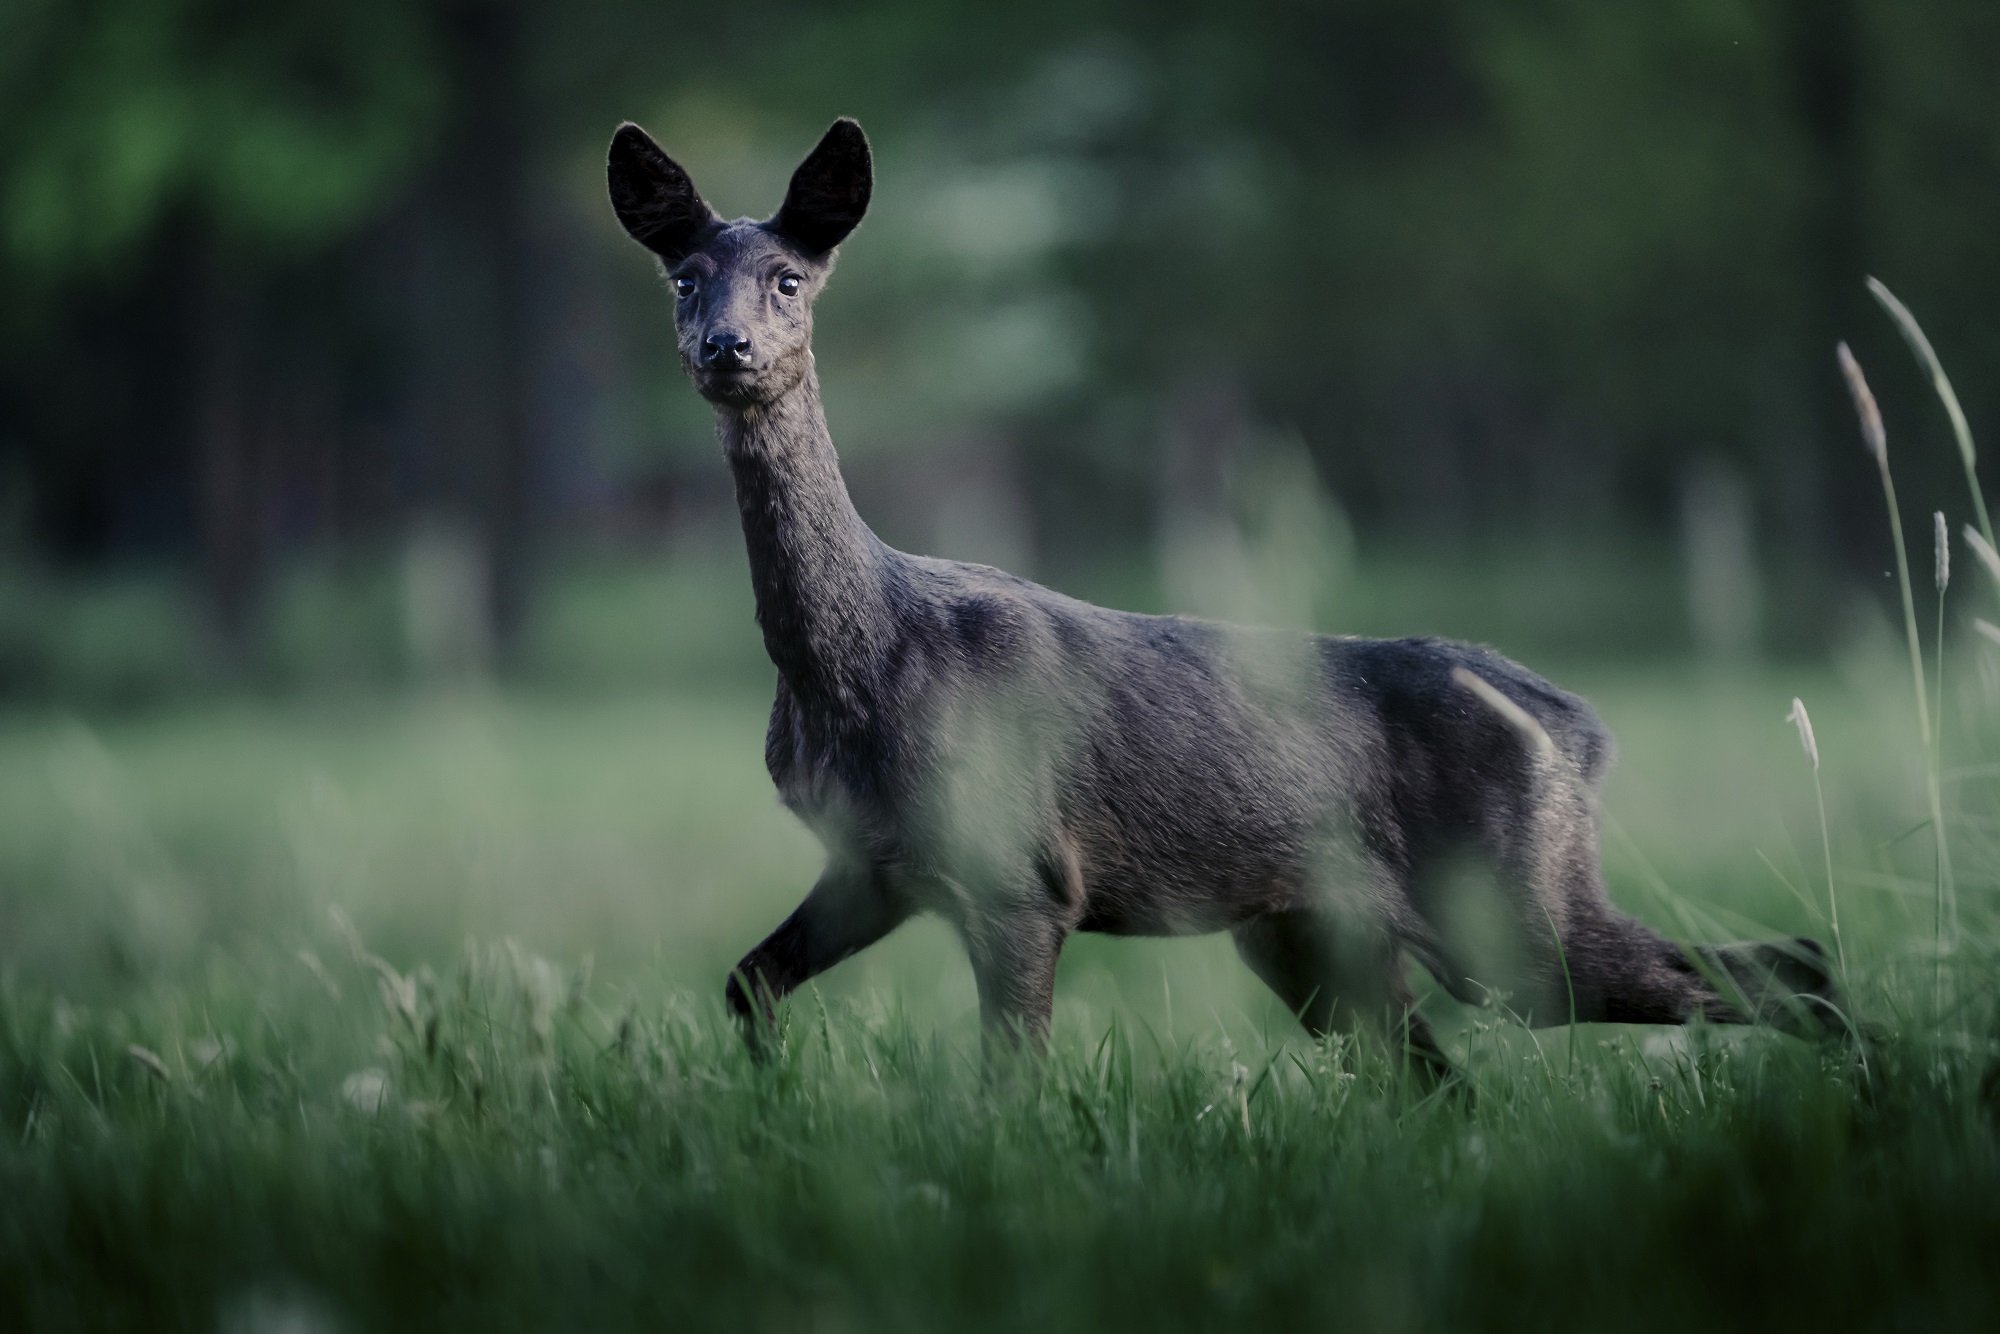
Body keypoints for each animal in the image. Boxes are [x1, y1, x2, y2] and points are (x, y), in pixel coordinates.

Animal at [600, 117, 1832, 1088]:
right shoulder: (876, 864)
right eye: (682, 277)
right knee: (1455, 1080)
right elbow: (745, 984)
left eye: (789, 278)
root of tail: (1580, 727)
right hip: (1314, 934)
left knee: (1786, 967)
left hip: (1510, 905)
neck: (859, 665)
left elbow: (1009, 1084)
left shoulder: (1022, 873)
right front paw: (769, 1104)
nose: (726, 348)